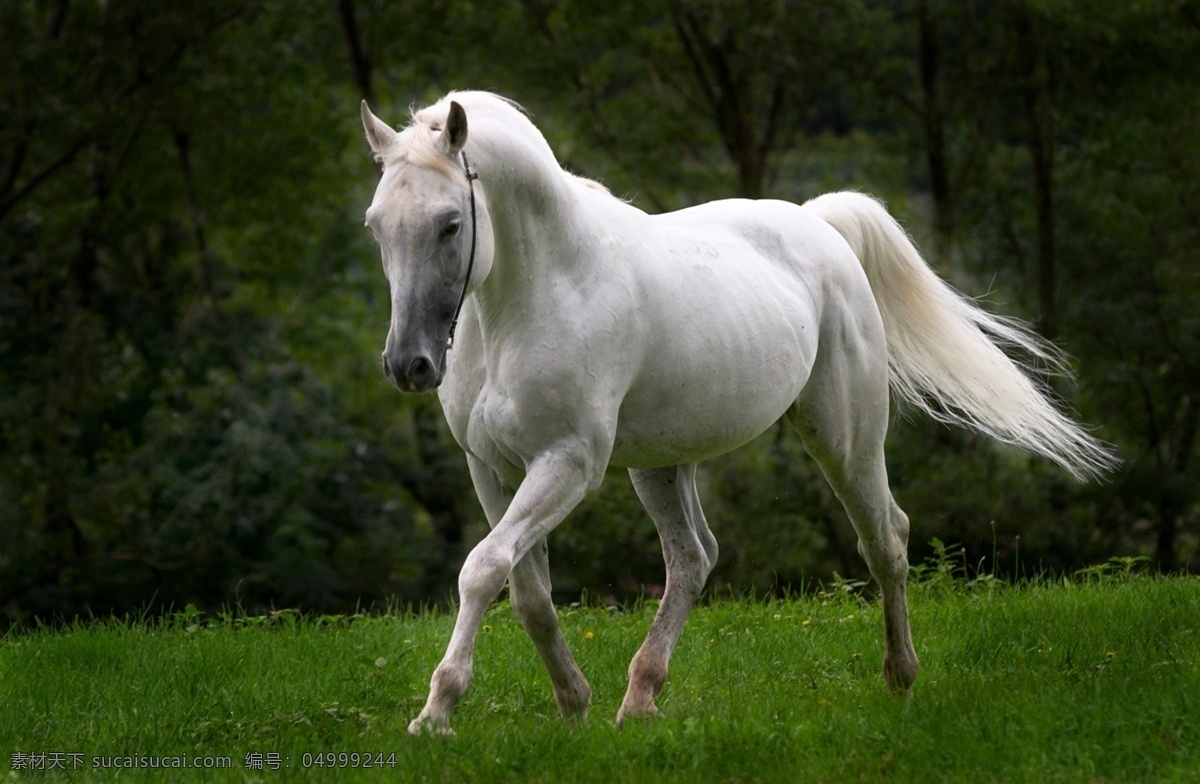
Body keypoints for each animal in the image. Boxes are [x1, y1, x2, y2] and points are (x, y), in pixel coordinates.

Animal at [357, 91, 1113, 734]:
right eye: (376, 227)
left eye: (450, 223)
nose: (407, 365)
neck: (540, 291)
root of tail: (820, 224)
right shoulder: (492, 469)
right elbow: (526, 591)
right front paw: (573, 706)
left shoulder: (568, 462)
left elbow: (483, 568)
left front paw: (436, 712)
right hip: (661, 463)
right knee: (694, 558)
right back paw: (638, 701)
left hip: (844, 439)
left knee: (885, 542)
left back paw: (900, 680)